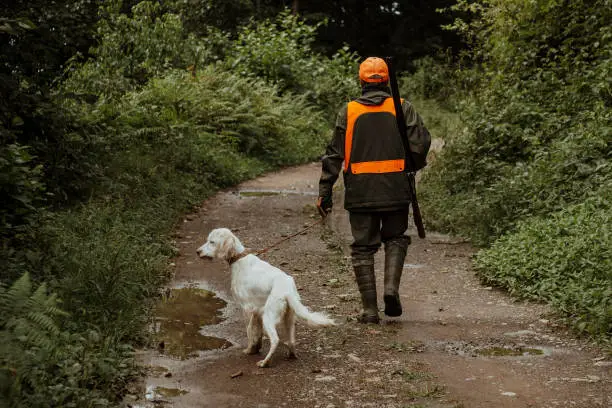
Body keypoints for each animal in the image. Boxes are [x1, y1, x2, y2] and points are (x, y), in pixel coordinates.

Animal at [196, 228, 334, 368]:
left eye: (212, 242)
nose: (197, 251)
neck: (239, 258)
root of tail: (287, 289)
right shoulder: (256, 311)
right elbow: (257, 333)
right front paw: (255, 348)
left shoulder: (247, 309)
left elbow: (250, 331)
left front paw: (249, 350)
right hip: (289, 318)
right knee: (291, 341)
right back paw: (291, 355)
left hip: (268, 316)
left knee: (275, 339)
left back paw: (265, 362)